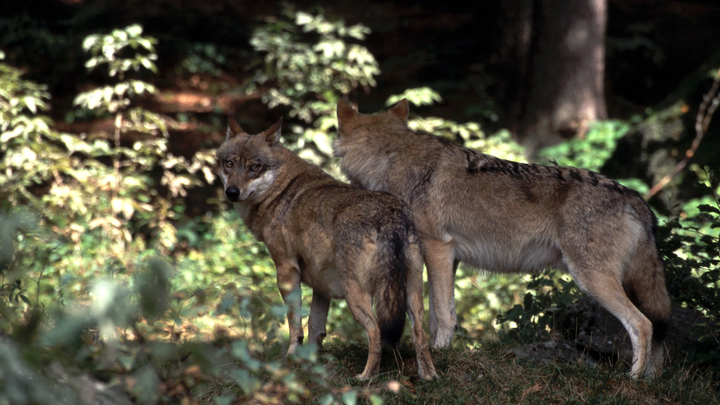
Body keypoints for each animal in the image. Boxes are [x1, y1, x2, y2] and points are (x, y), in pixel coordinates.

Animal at [215, 115, 438, 380]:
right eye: (229, 163)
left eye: (254, 167)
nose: (232, 192)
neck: (280, 190)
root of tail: (392, 216)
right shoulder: (321, 285)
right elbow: (315, 327)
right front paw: (309, 362)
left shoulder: (286, 271)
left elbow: (295, 324)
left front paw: (291, 359)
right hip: (411, 298)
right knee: (420, 335)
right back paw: (428, 377)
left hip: (357, 296)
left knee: (376, 332)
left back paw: (365, 378)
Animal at [334, 99, 672, 378]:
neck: (390, 158)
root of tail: (635, 198)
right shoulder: (448, 258)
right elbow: (437, 314)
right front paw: (439, 352)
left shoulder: (437, 248)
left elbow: (442, 314)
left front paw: (439, 354)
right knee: (657, 332)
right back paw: (651, 381)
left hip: (593, 280)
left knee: (642, 324)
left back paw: (632, 379)